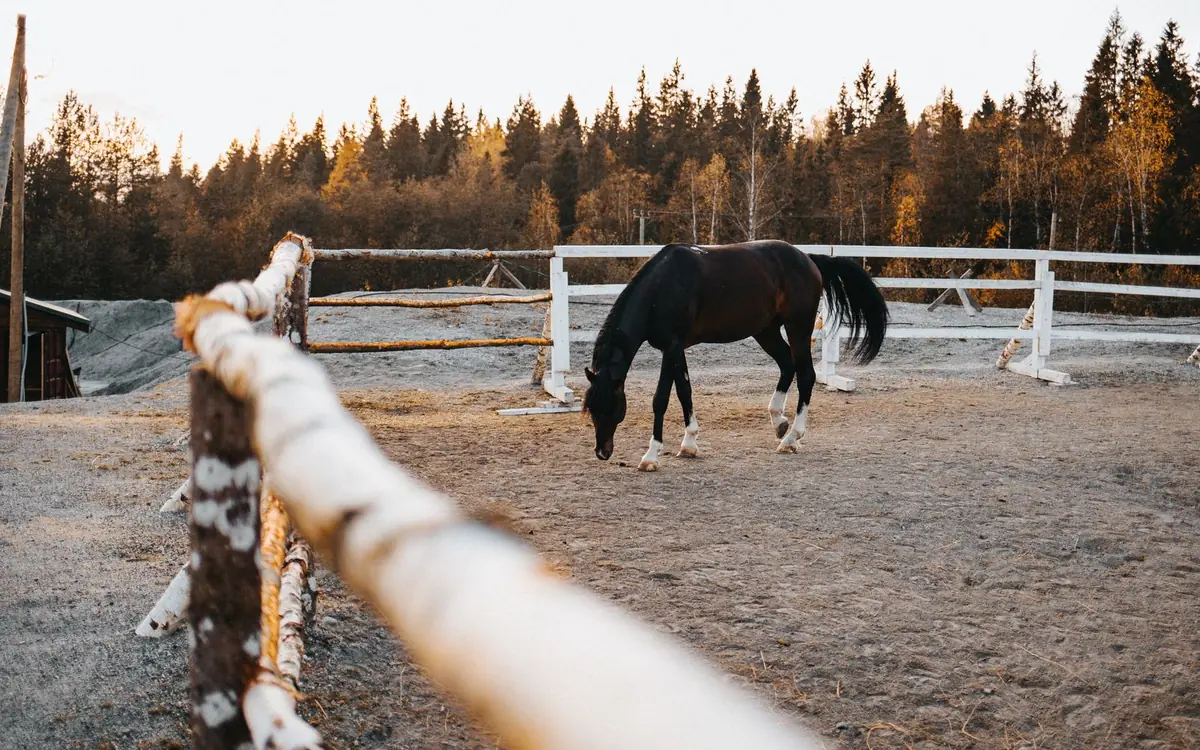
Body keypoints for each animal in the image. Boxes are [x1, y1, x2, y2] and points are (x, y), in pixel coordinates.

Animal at [581, 240, 888, 470]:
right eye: (591, 409)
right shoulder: (677, 350)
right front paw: (689, 444)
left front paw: (651, 456)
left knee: (805, 375)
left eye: (611, 407)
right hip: (766, 330)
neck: (663, 287)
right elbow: (684, 392)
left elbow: (661, 399)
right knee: (787, 366)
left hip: (798, 328)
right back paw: (779, 421)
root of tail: (808, 259)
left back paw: (791, 437)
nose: (602, 452)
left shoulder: (671, 347)